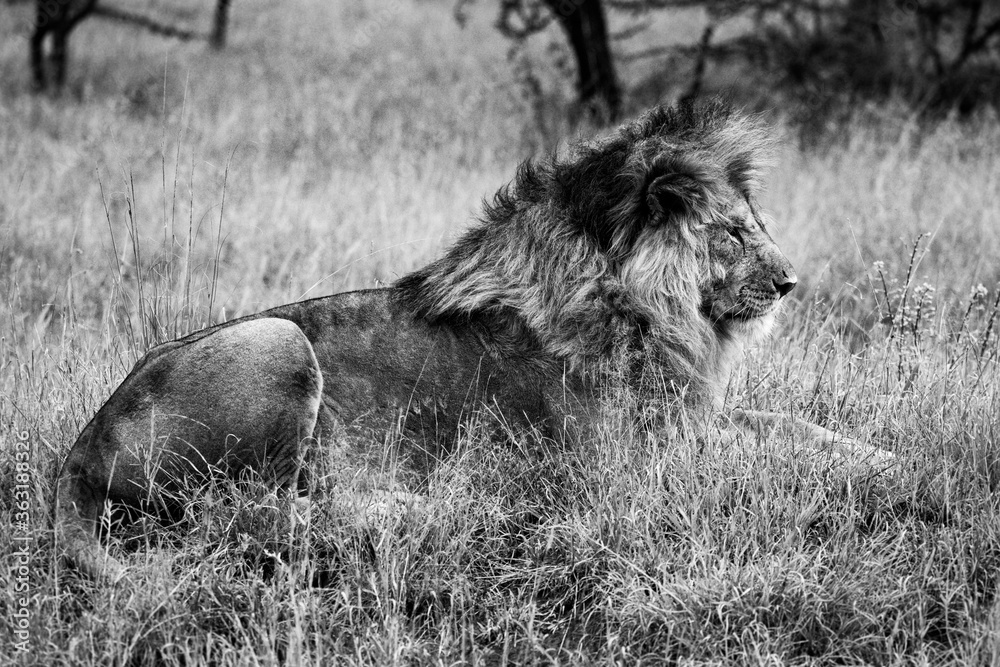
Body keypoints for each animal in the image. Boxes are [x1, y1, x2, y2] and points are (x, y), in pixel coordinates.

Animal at [55, 101, 891, 580]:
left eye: (757, 225)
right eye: (731, 233)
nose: (790, 283)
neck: (654, 315)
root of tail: (80, 451)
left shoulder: (688, 414)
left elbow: (788, 424)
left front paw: (884, 455)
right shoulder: (621, 468)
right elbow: (761, 451)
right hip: (277, 339)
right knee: (245, 513)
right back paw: (431, 508)